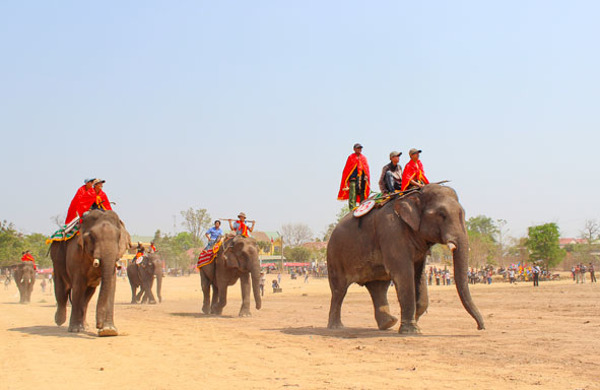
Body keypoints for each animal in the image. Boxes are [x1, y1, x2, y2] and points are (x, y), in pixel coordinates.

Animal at [326, 184, 486, 334]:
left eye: (462, 214)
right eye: (442, 214)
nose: (480, 327)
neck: (415, 194)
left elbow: (419, 274)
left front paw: (415, 321)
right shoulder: (391, 230)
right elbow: (404, 273)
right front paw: (412, 330)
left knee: (378, 287)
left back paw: (388, 323)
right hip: (335, 255)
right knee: (340, 290)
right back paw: (336, 327)